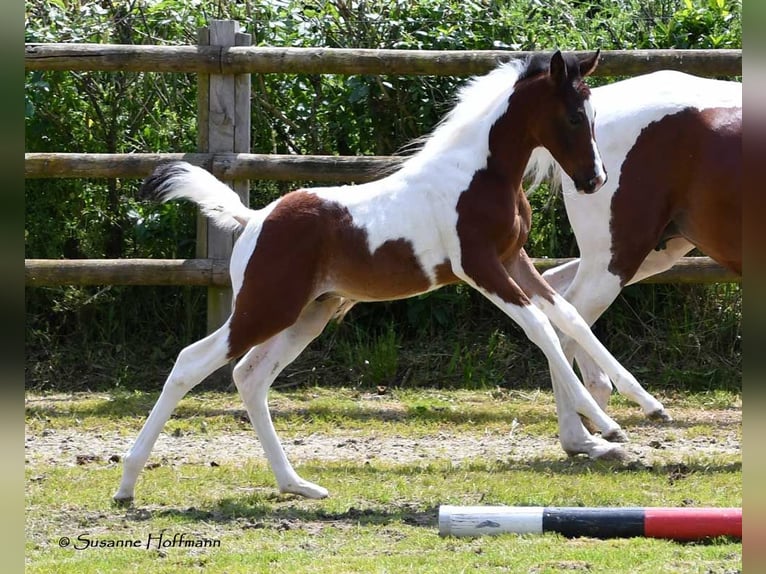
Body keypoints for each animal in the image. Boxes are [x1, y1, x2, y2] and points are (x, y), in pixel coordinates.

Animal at [114, 50, 657, 504]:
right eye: (574, 117)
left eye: (594, 117)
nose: (595, 180)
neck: (478, 175)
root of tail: (253, 219)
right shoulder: (479, 267)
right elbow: (541, 328)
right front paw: (605, 423)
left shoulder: (514, 261)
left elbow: (570, 319)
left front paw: (647, 405)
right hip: (266, 307)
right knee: (191, 361)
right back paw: (127, 483)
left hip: (308, 315)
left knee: (249, 376)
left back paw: (296, 485)